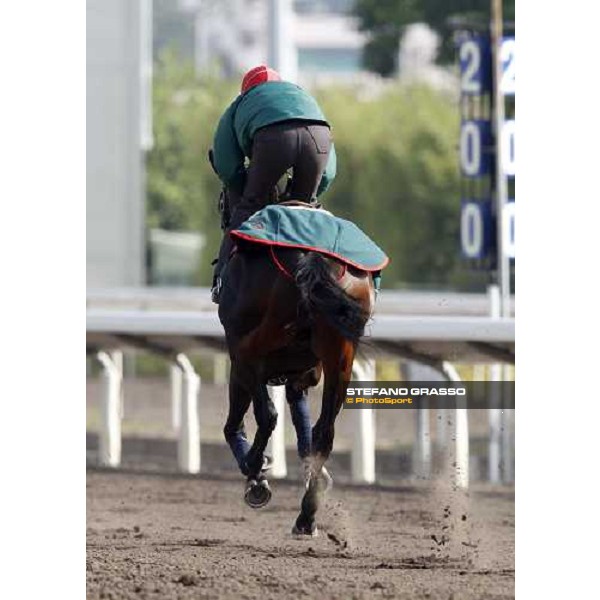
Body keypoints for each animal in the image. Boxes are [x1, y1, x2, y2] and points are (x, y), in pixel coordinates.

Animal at [216, 223, 376, 536]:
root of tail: (314, 258)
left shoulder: (240, 358)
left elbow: (236, 424)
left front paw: (257, 475)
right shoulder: (304, 374)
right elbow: (304, 425)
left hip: (251, 348)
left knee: (267, 414)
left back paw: (254, 464)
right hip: (340, 357)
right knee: (324, 433)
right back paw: (306, 515)